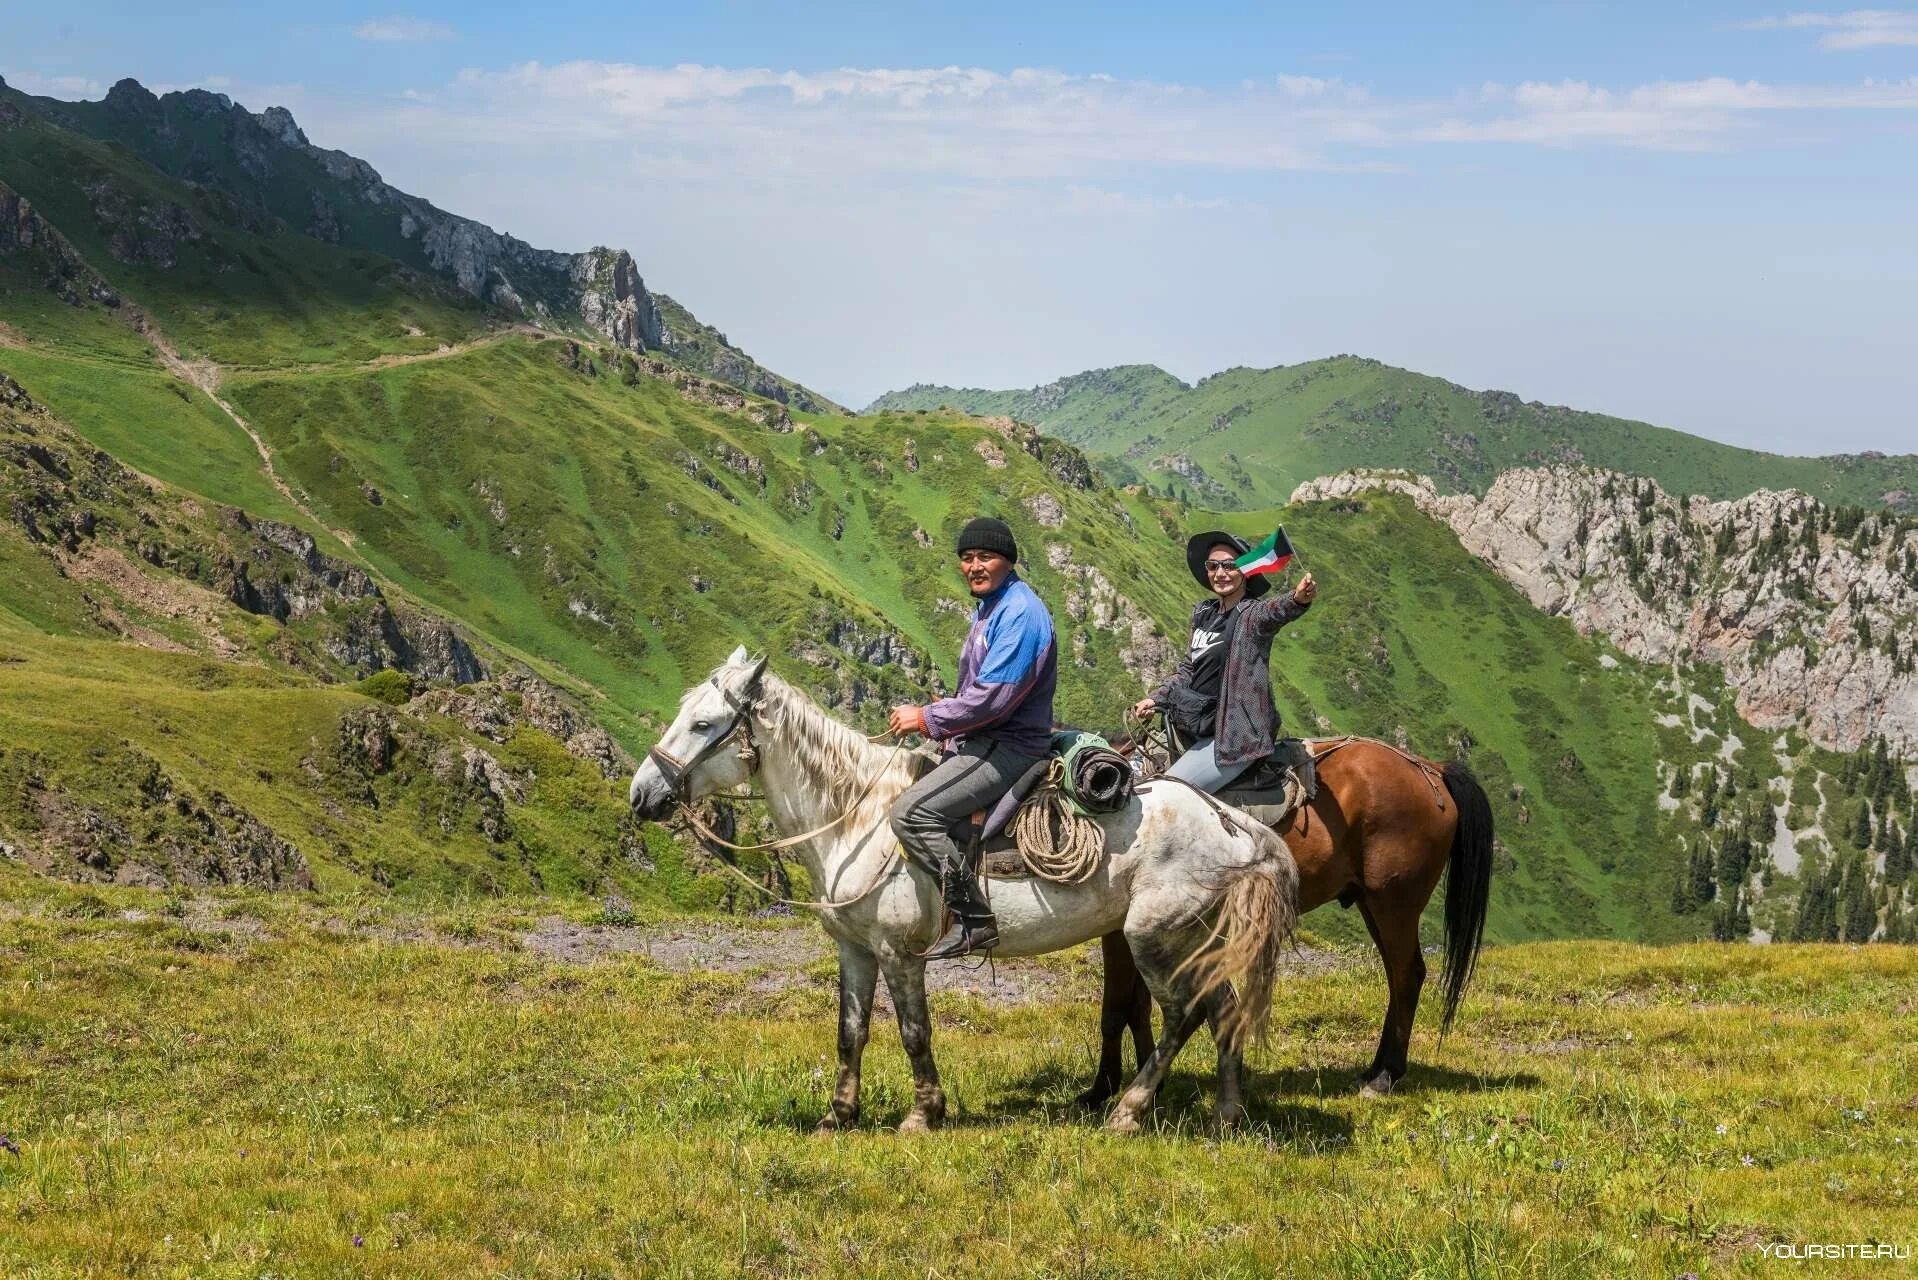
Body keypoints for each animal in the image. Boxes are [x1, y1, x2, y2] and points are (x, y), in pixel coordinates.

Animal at [632, 652, 1304, 1128]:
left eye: (703, 723)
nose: (643, 794)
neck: (856, 815)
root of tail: (1226, 818)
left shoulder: (900, 951)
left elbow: (912, 1031)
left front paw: (923, 1113)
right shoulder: (854, 949)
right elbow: (851, 1030)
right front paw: (838, 1115)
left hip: (1154, 938)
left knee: (1184, 1013)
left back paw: (1130, 1111)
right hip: (1193, 939)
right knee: (1223, 1009)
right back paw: (1225, 1115)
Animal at [1089, 736, 1488, 1105]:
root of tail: (1430, 769)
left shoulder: (1121, 932)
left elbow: (1116, 1010)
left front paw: (1101, 1090)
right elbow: (1136, 1008)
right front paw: (1147, 1084)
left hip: (1395, 904)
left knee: (1407, 976)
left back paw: (1384, 1077)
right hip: (1373, 905)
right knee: (1397, 975)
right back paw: (1375, 1070)